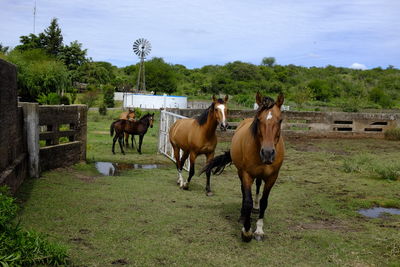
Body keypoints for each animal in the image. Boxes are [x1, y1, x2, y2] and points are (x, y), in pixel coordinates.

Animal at [203, 92, 284, 243]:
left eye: (280, 120)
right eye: (259, 119)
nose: (268, 153)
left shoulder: (272, 177)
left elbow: (264, 202)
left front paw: (259, 230)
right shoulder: (247, 174)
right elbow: (247, 201)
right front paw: (246, 231)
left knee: (258, 187)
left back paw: (256, 208)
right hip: (241, 172)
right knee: (243, 191)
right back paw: (242, 216)